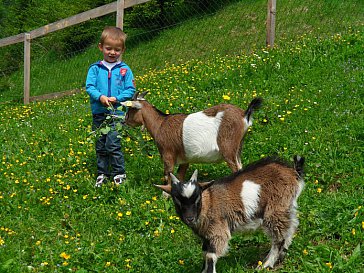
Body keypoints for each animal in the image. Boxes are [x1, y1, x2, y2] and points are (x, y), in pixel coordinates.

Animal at [121, 91, 262, 185]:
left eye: (130, 109)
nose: (123, 121)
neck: (160, 124)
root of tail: (244, 115)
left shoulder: (167, 154)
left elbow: (168, 174)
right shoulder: (185, 159)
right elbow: (179, 176)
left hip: (228, 147)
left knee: (236, 168)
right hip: (238, 147)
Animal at [156, 154, 304, 270]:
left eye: (197, 198)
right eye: (177, 200)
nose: (190, 218)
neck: (208, 203)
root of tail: (292, 172)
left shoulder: (217, 231)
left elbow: (210, 256)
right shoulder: (206, 236)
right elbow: (204, 253)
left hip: (275, 209)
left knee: (278, 237)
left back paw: (266, 264)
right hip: (286, 205)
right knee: (290, 229)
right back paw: (282, 255)